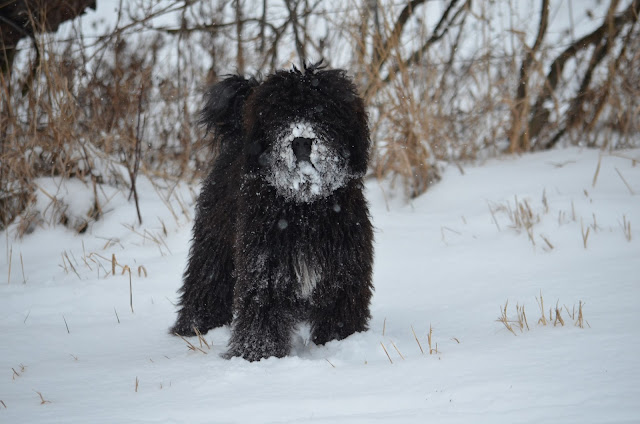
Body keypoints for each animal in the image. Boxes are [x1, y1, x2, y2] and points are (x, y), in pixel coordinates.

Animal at [171, 63, 376, 362]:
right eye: (282, 115)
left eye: (323, 112)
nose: (301, 141)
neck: (304, 208)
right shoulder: (264, 266)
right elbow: (262, 310)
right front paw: (259, 355)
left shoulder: (344, 268)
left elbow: (340, 310)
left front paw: (340, 343)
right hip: (215, 242)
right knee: (207, 280)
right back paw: (194, 326)